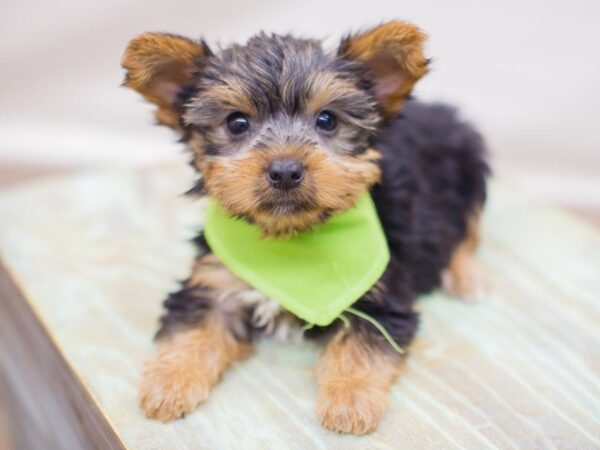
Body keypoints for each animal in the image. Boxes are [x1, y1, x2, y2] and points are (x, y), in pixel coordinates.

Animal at [120, 22, 488, 436]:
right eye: (236, 123)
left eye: (327, 120)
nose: (285, 171)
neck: (290, 237)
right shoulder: (213, 279)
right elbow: (194, 326)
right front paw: (169, 382)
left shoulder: (380, 293)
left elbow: (362, 344)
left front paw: (349, 399)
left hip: (470, 166)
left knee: (468, 231)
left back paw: (468, 276)